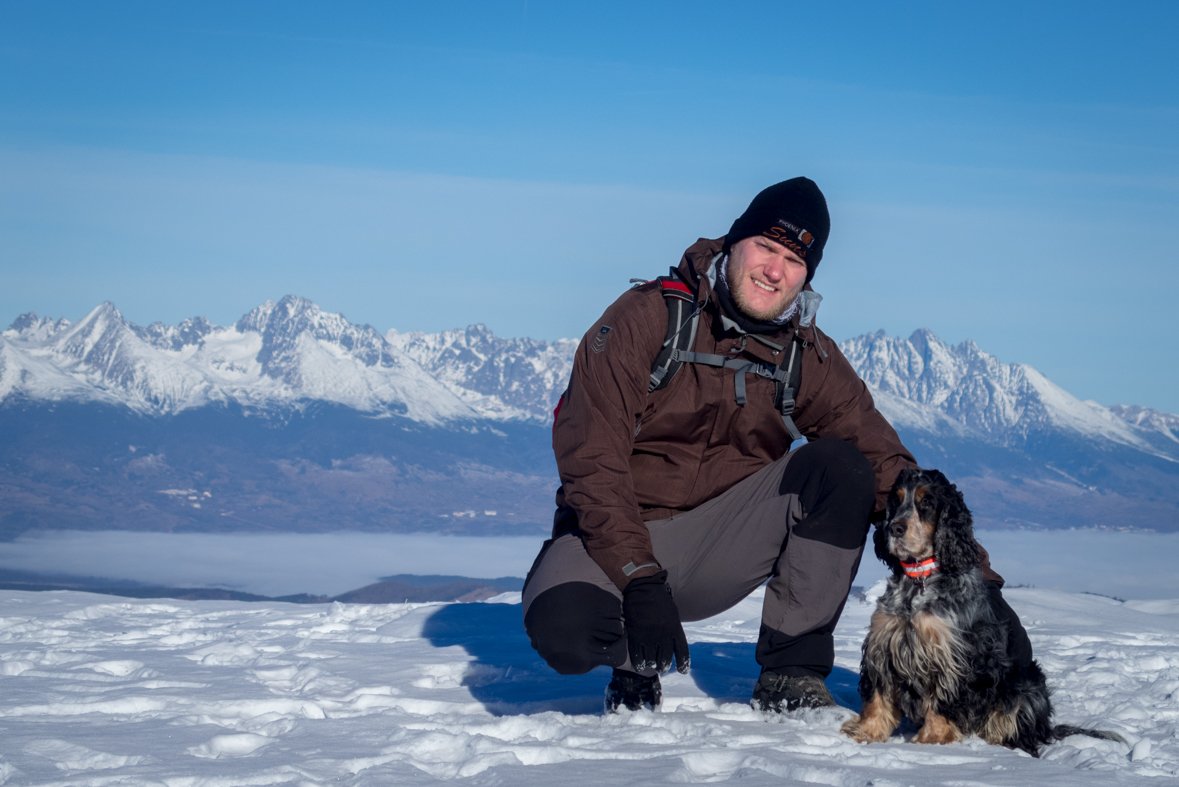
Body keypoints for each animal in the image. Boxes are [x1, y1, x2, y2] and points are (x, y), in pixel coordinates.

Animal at [839, 466, 1122, 754]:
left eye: (927, 502)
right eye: (895, 501)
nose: (895, 528)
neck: (919, 580)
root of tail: (1046, 727)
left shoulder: (952, 657)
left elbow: (942, 701)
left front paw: (932, 740)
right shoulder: (883, 645)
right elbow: (877, 697)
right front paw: (864, 732)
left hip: (1025, 688)